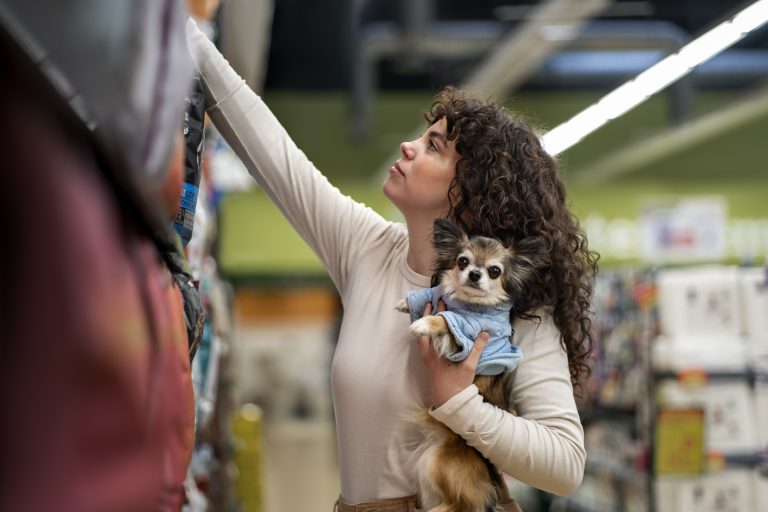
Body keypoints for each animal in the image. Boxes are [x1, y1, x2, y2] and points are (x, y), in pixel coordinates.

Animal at [392, 219, 544, 512]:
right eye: (463, 262)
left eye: (495, 271)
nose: (474, 274)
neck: (465, 303)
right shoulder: (438, 295)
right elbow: (429, 294)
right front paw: (405, 303)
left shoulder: (465, 333)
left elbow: (444, 318)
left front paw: (424, 324)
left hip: (438, 463)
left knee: (463, 504)